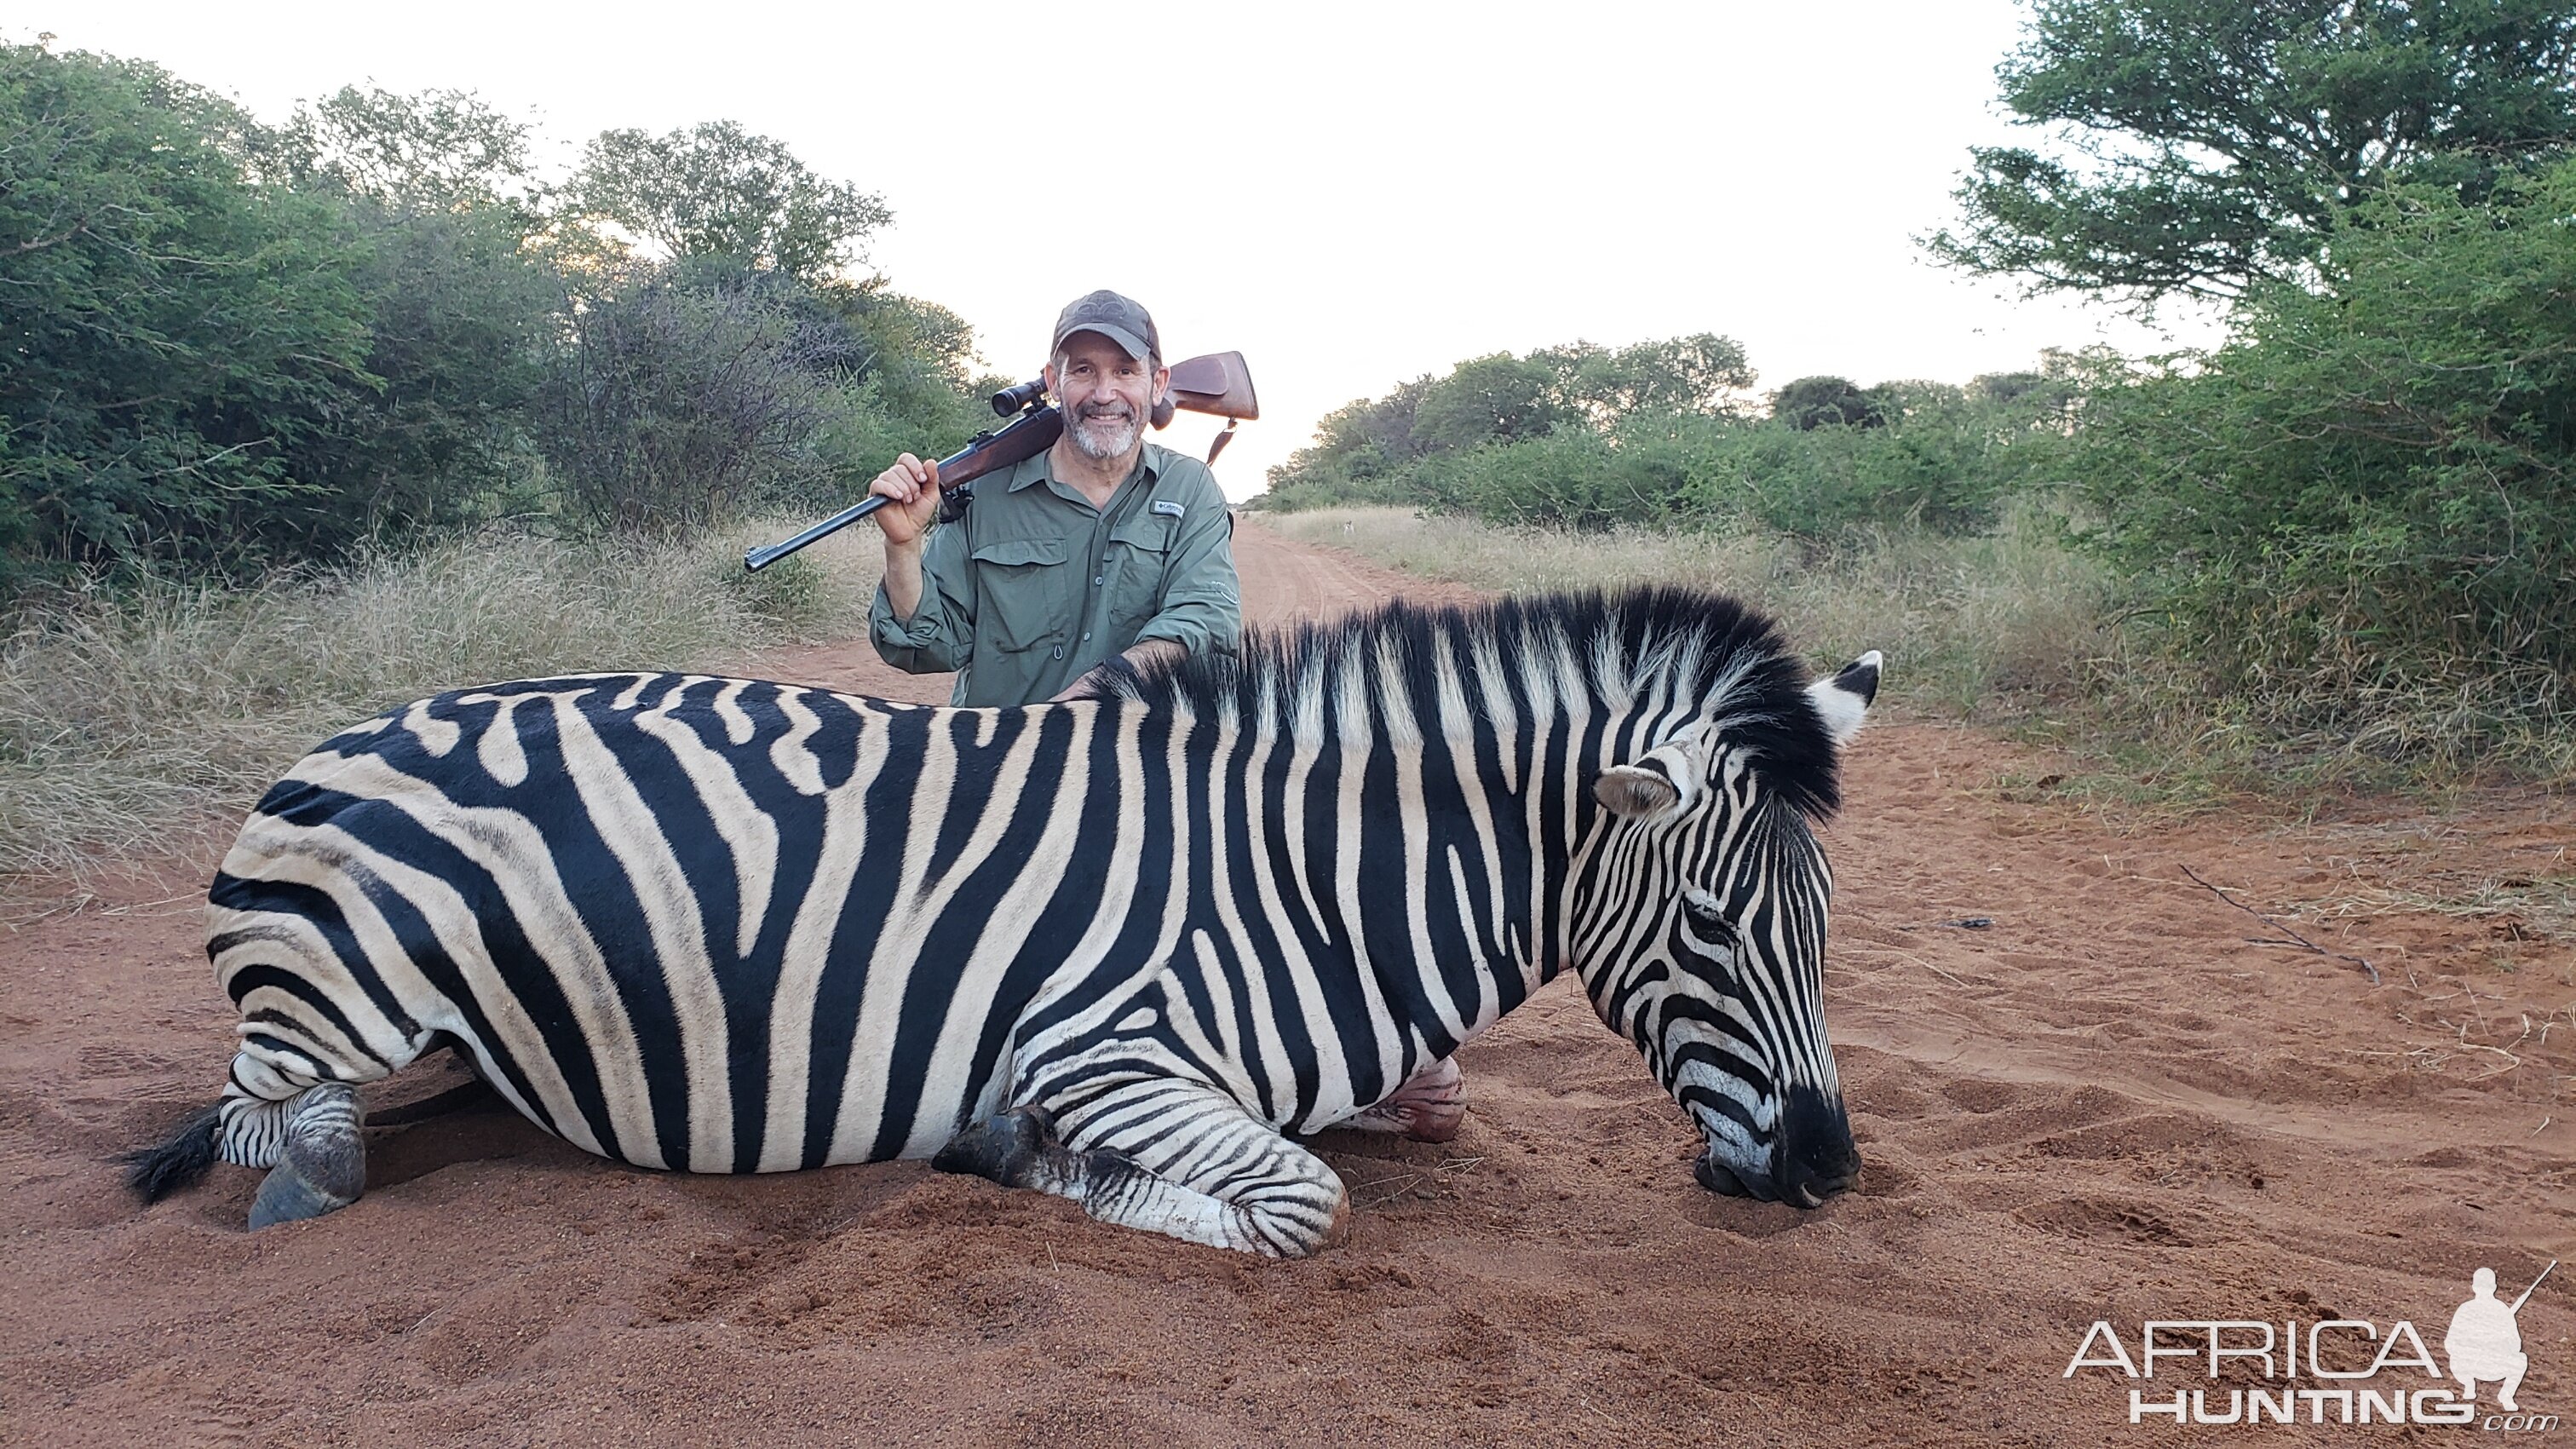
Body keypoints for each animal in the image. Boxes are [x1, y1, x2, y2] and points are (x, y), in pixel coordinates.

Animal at [121, 588, 1885, 1252]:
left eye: (1820, 925)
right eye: (1714, 926)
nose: (1823, 1171)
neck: (1304, 876)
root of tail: (333, 739)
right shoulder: (1105, 1049)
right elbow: (1297, 1199)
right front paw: (1014, 1157)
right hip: (339, 993)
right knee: (267, 1115)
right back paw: (313, 1171)